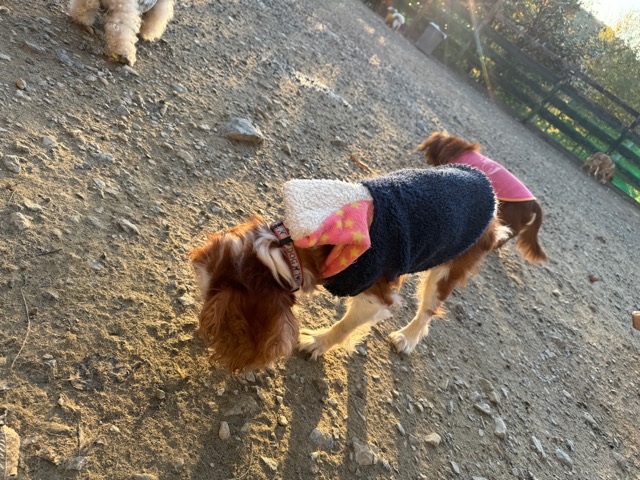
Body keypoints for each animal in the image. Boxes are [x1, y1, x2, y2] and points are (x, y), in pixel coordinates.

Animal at [189, 167, 510, 372]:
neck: (288, 249)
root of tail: (492, 194)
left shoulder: (374, 292)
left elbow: (346, 325)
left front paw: (317, 341)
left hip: (450, 266)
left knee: (428, 310)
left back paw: (407, 337)